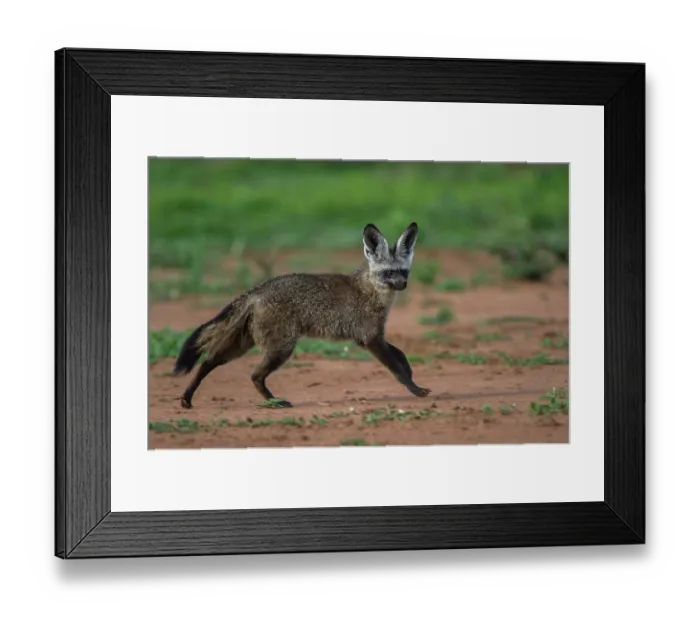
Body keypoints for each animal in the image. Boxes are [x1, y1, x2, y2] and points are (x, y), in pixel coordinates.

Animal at [172, 222, 431, 409]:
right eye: (389, 273)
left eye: (404, 271)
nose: (402, 285)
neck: (370, 290)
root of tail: (258, 289)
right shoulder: (370, 338)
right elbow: (396, 369)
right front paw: (416, 389)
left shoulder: (369, 336)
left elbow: (401, 355)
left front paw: (411, 372)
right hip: (281, 349)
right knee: (254, 375)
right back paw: (274, 402)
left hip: (242, 345)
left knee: (208, 362)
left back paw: (187, 398)